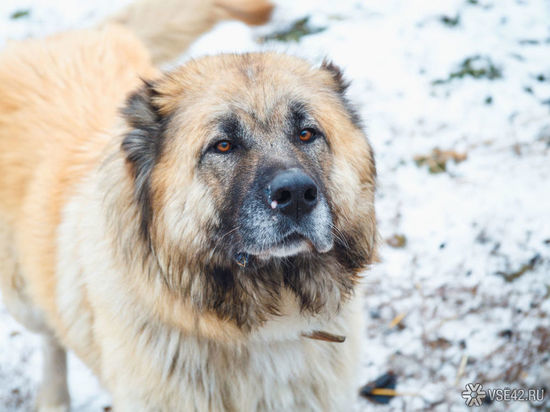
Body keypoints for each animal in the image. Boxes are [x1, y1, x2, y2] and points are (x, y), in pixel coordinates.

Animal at [0, 0, 378, 408]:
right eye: (223, 145)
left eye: (306, 134)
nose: (295, 196)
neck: (266, 324)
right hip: (24, 300)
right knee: (50, 337)